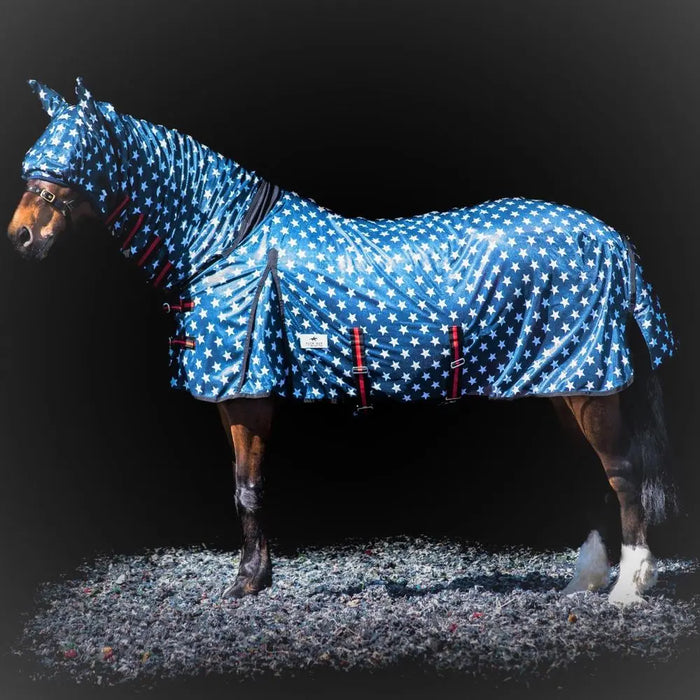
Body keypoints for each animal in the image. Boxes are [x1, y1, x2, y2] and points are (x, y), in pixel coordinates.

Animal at [7, 77, 677, 605]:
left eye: (71, 160)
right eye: (32, 160)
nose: (21, 236)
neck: (227, 242)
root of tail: (612, 239)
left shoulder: (246, 395)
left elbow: (245, 487)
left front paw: (245, 582)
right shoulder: (243, 398)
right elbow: (248, 485)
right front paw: (257, 577)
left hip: (591, 386)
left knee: (622, 475)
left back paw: (627, 588)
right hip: (564, 382)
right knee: (594, 475)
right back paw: (582, 582)